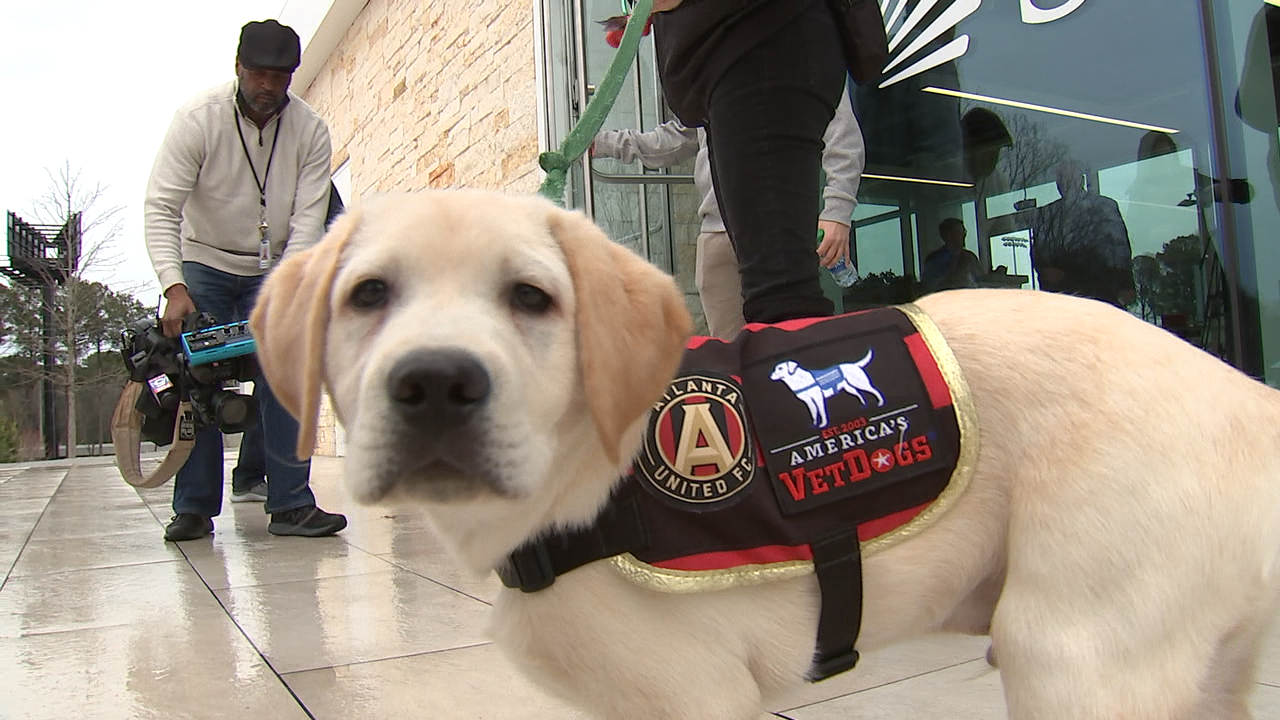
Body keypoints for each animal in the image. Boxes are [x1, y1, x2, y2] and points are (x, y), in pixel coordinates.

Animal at [249, 189, 1280, 717]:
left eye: (532, 299)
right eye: (368, 295)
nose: (434, 384)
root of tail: (1248, 395)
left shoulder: (699, 698)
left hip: (1073, 660)